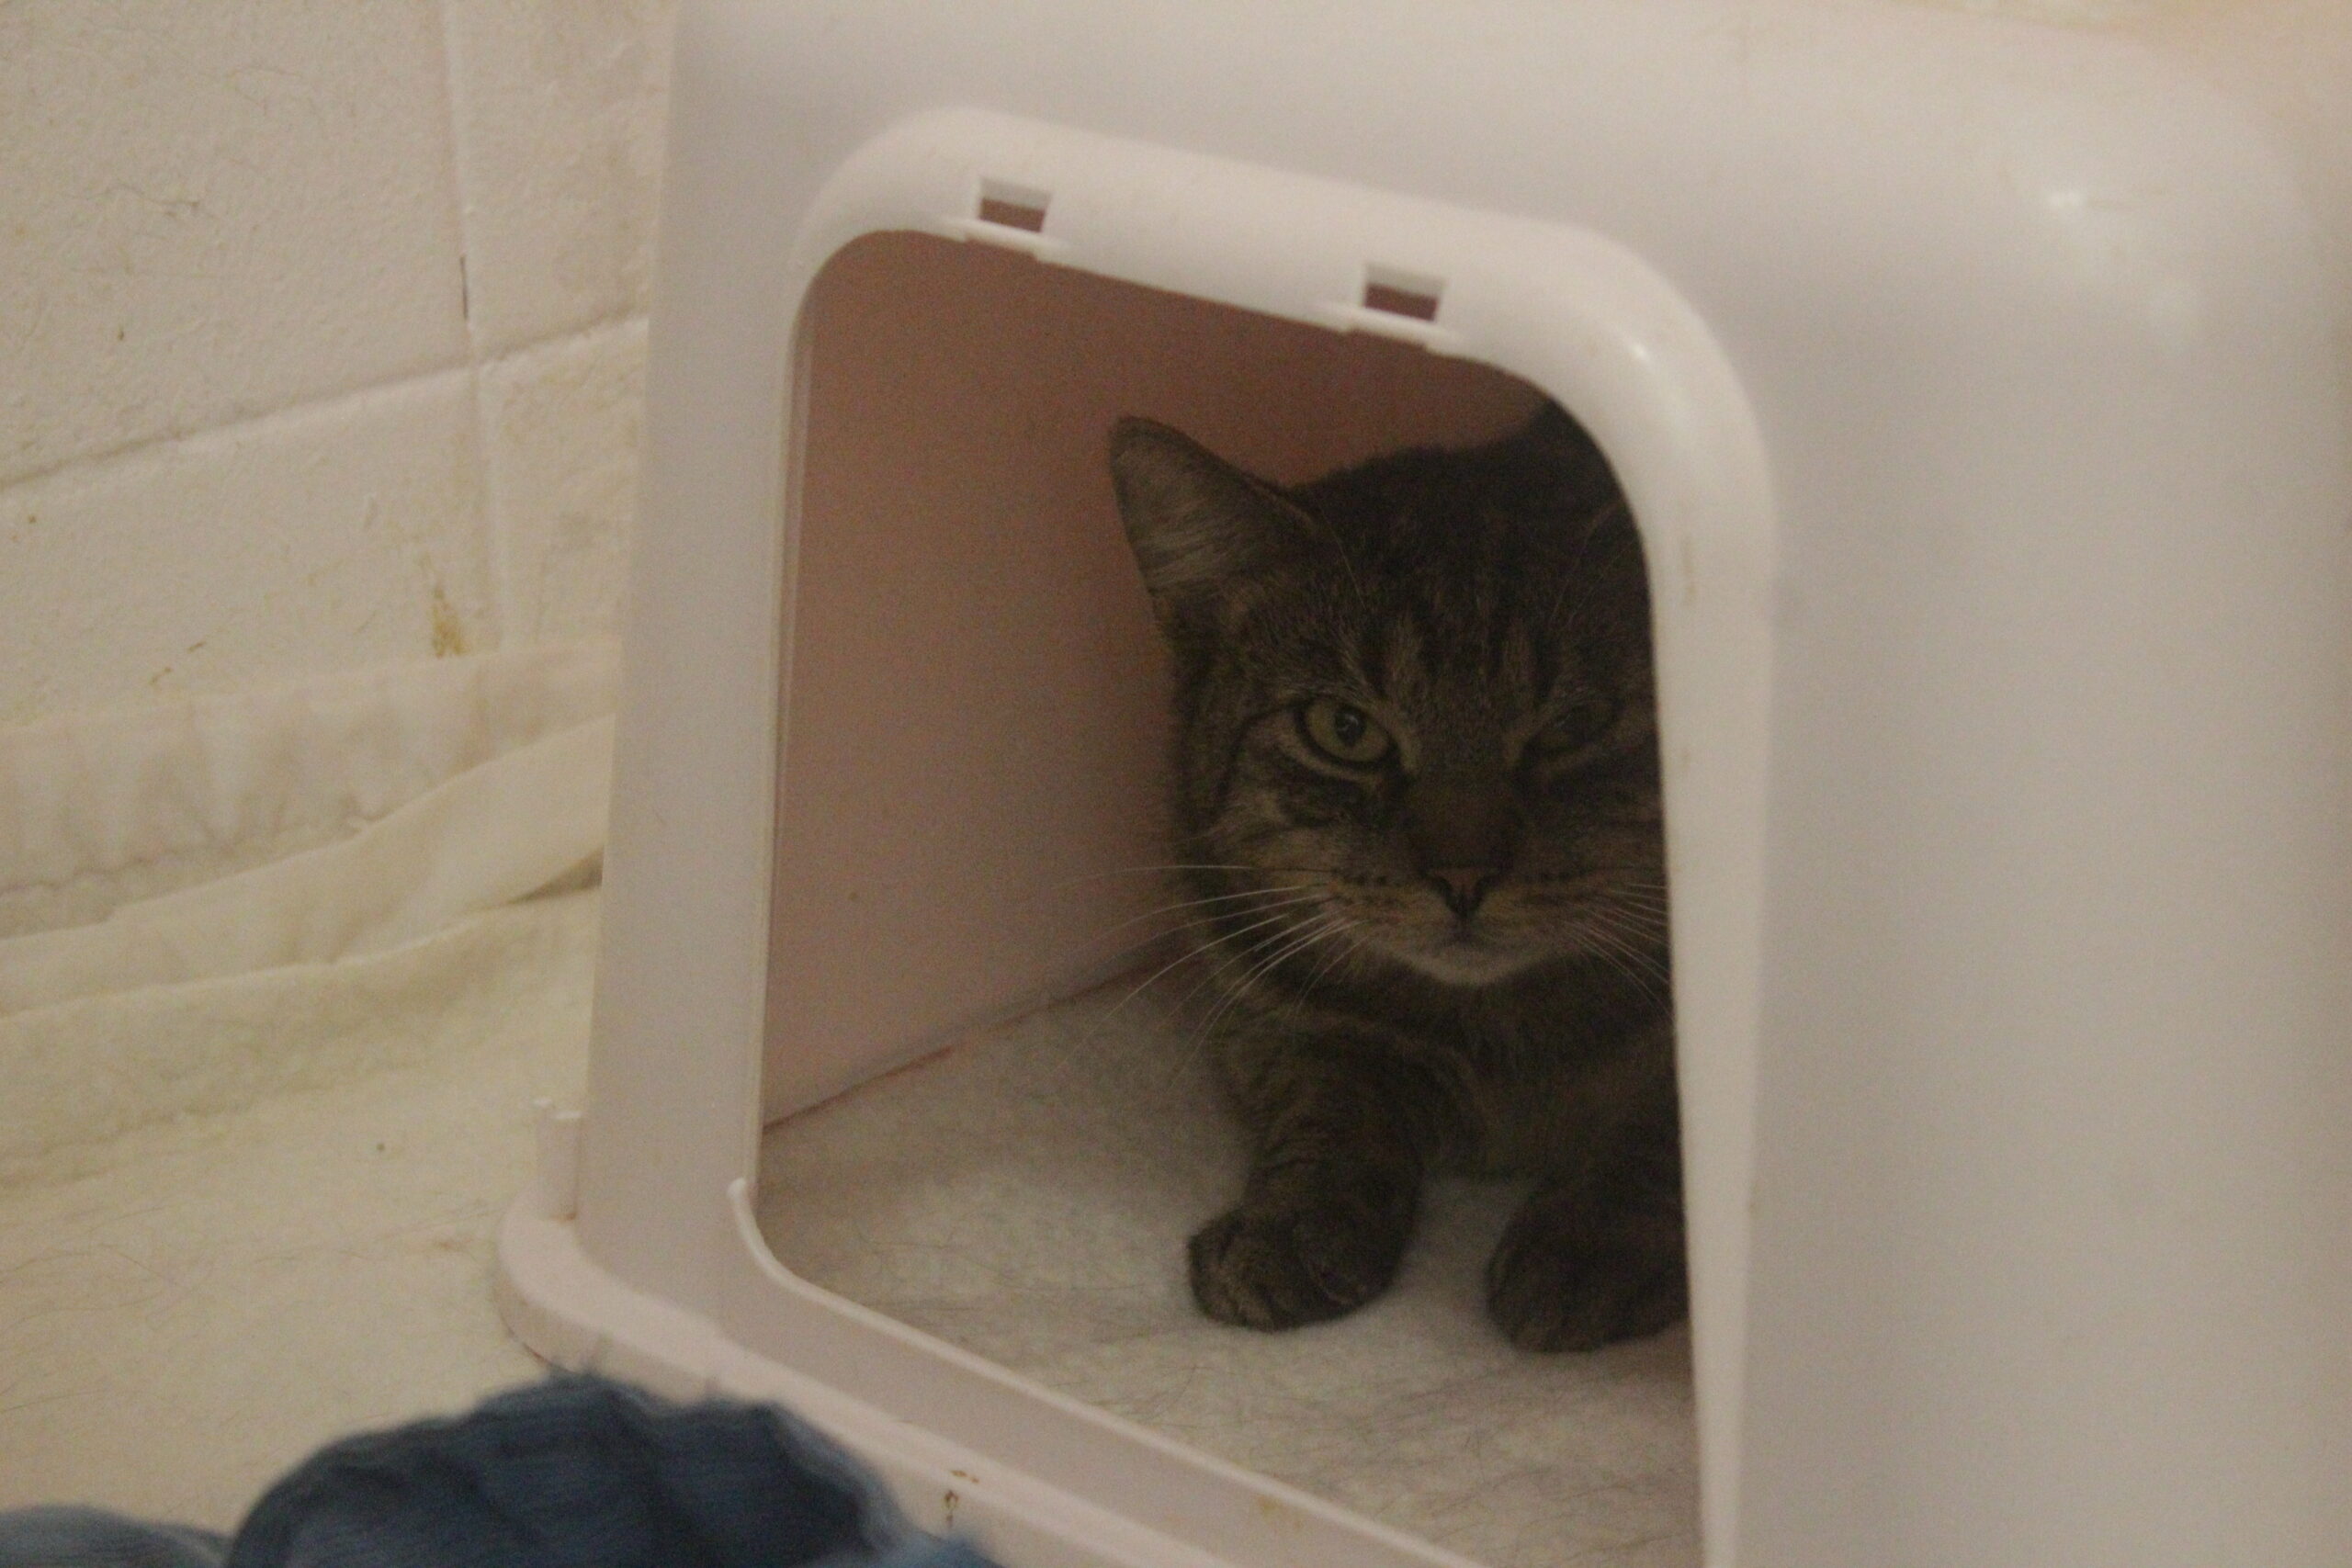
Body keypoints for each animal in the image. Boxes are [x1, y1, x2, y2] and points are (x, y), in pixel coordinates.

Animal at [1108, 404, 1683, 1351]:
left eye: (1575, 725)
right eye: (1345, 729)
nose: (1463, 873)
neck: (1501, 1032)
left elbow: (1665, 1125)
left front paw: (1588, 1239)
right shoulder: (1277, 1018)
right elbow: (1330, 1107)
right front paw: (1290, 1226)